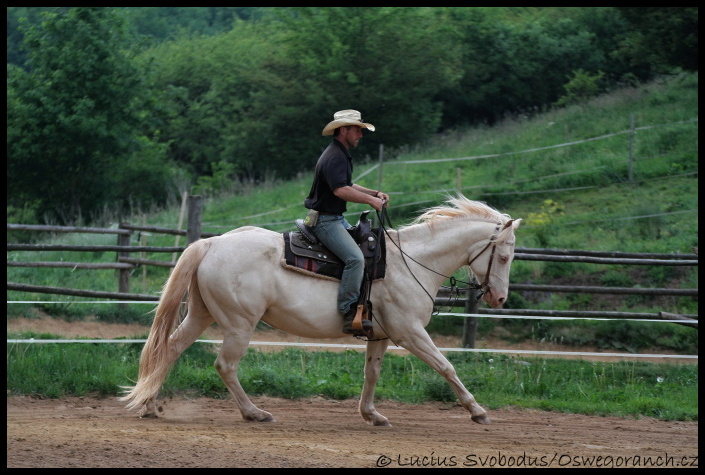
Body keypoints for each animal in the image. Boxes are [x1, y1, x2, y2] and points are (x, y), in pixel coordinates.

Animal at [119, 196, 516, 428]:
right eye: (505, 255)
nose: (499, 298)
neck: (410, 263)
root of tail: (213, 243)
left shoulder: (382, 335)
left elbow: (371, 374)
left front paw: (371, 414)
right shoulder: (410, 332)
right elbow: (446, 366)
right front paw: (477, 411)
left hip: (202, 315)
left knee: (170, 347)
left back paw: (150, 405)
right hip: (239, 324)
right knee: (225, 365)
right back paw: (254, 413)